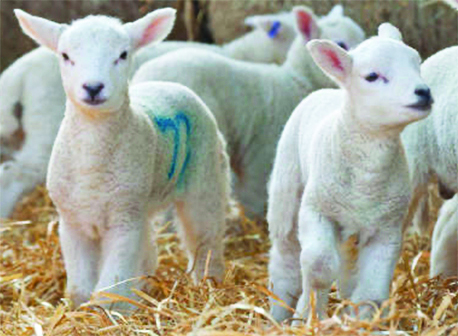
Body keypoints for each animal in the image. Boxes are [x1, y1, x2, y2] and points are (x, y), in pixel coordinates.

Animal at [16, 6, 231, 312]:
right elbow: (80, 286)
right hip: (142, 203)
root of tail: (169, 84)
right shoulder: (72, 221)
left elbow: (110, 285)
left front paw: (107, 311)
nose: (93, 87)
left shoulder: (124, 220)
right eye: (65, 56)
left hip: (205, 177)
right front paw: (81, 309)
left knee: (206, 236)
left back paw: (209, 284)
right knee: (150, 250)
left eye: (123, 54)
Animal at [266, 22, 432, 322]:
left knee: (347, 266)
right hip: (286, 195)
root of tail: (324, 90)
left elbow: (373, 288)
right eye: (372, 76)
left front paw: (360, 320)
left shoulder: (387, 228)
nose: (423, 92)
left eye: (417, 63)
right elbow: (318, 267)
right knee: (285, 259)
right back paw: (279, 312)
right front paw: (308, 315)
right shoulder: (316, 209)